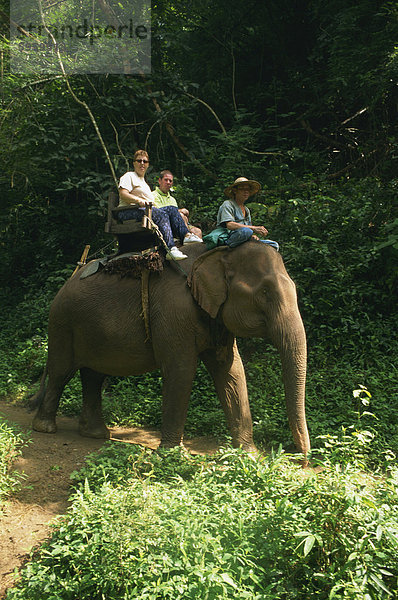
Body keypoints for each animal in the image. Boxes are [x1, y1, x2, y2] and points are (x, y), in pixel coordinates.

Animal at [31, 241, 310, 458]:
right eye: (265, 292)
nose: (303, 459)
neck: (217, 253)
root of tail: (68, 280)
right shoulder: (173, 311)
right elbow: (181, 371)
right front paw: (172, 454)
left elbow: (231, 371)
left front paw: (248, 456)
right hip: (62, 323)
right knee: (61, 371)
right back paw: (45, 428)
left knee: (93, 375)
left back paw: (96, 434)